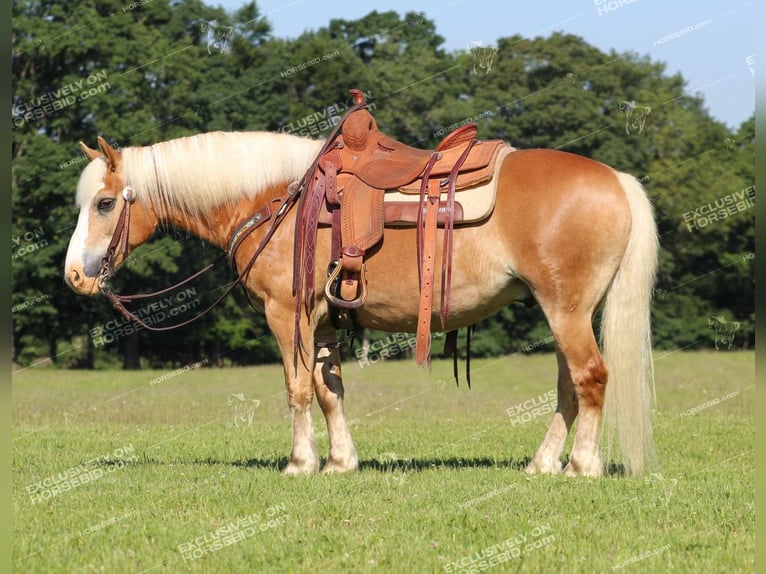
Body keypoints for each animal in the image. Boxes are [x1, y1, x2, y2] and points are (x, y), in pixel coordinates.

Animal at [64, 127, 660, 482]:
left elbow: (298, 389)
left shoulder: (286, 314)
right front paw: (339, 462)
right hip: (563, 311)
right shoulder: (323, 319)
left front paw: (300, 463)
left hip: (566, 309)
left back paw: (582, 466)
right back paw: (543, 463)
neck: (273, 200)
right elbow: (330, 391)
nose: (75, 276)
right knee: (568, 385)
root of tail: (615, 179)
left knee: (590, 377)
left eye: (105, 203)